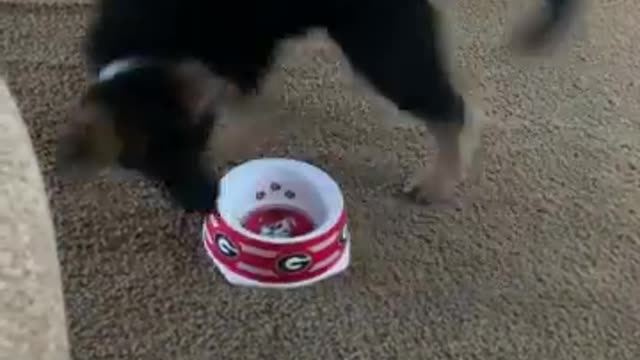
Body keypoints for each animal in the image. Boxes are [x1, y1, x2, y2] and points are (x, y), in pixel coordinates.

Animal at [57, 0, 584, 214]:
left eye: (193, 145)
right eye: (146, 166)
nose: (207, 205)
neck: (147, 56)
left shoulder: (240, 56)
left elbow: (240, 103)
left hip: (381, 46)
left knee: (455, 111)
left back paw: (437, 181)